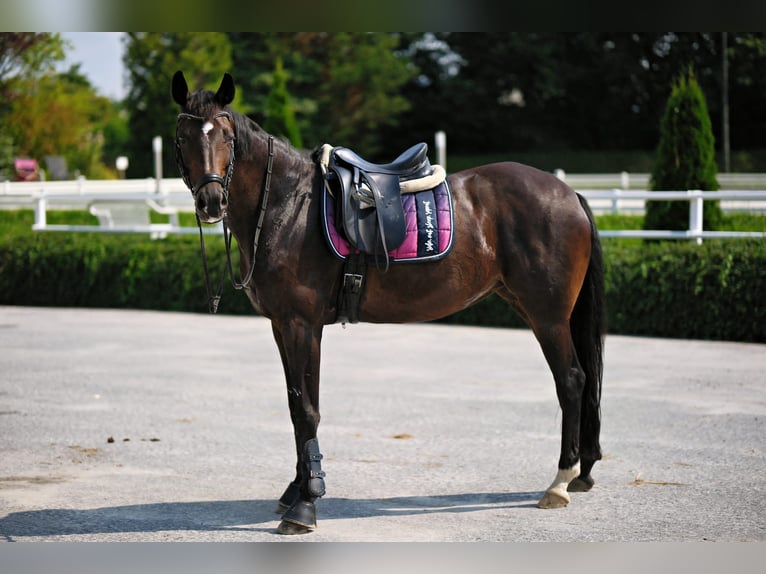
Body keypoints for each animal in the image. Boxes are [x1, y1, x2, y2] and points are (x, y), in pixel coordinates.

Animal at [172, 71, 608, 536]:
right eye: (183, 137)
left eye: (227, 137)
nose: (211, 202)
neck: (287, 206)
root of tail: (568, 193)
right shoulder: (282, 325)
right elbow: (296, 403)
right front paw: (297, 489)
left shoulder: (301, 324)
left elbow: (306, 410)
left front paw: (306, 505)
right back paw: (581, 473)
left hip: (548, 316)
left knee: (572, 380)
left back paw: (559, 482)